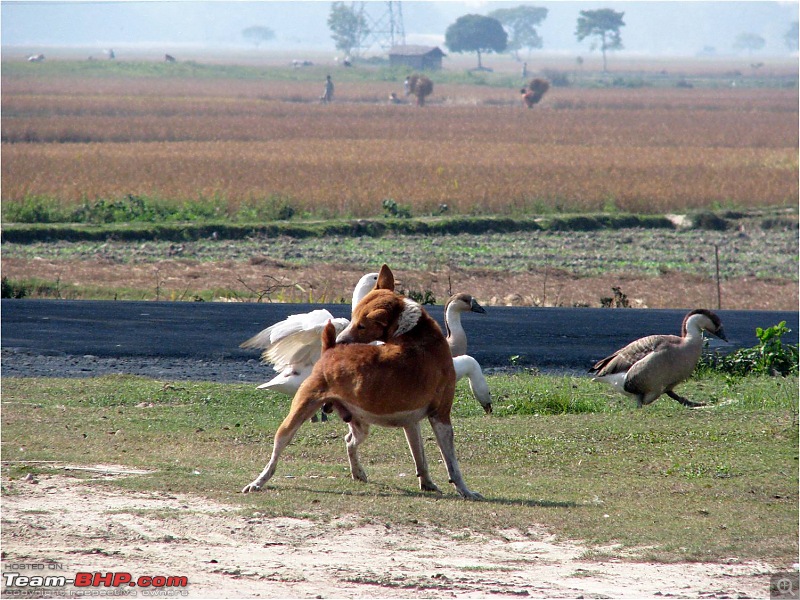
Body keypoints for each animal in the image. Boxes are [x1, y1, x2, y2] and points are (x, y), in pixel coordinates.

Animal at [241, 264, 478, 500]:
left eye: (361, 325)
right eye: (354, 318)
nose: (341, 340)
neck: (416, 333)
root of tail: (328, 349)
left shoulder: (411, 421)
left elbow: (420, 456)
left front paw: (427, 483)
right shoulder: (441, 415)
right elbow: (452, 463)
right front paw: (464, 489)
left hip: (359, 422)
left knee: (349, 441)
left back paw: (358, 472)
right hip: (299, 412)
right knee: (277, 450)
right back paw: (259, 481)